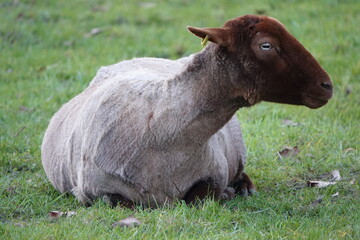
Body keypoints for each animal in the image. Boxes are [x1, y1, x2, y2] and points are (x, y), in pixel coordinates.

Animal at [41, 15, 332, 207]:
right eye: (266, 45)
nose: (327, 85)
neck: (160, 131)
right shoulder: (95, 193)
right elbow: (121, 202)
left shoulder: (215, 172)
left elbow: (200, 197)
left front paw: (227, 193)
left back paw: (245, 187)